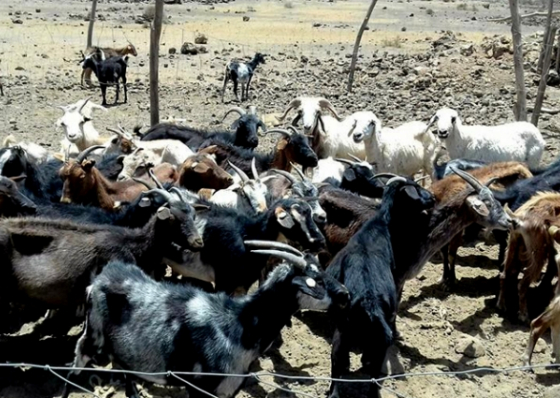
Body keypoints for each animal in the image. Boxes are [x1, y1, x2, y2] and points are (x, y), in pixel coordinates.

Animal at [62, 241, 350, 398]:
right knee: (75, 364)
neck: (239, 324)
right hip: (93, 335)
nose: (345, 294)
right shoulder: (199, 385)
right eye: (316, 280)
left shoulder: (229, 388)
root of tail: (101, 277)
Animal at [328, 176, 438, 398]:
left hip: (345, 333)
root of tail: (368, 304)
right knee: (371, 371)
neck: (380, 224)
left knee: (340, 363)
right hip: (369, 340)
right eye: (417, 188)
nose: (432, 197)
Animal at [430, 160, 532, 288]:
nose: (508, 220)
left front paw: (451, 281)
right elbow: (444, 253)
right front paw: (444, 278)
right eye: (487, 204)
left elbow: (451, 254)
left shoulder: (456, 233)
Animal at [498, 191, 560, 322]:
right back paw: (524, 315)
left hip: (512, 245)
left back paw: (501, 305)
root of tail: (519, 219)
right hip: (537, 253)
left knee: (504, 275)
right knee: (522, 285)